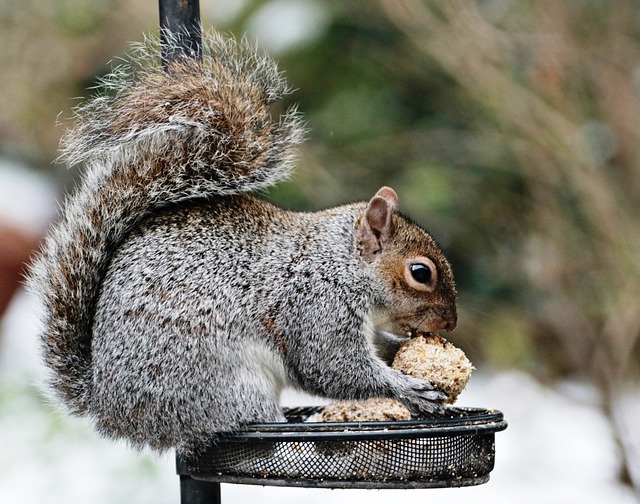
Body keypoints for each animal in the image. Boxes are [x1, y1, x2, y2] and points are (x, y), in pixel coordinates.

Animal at [27, 31, 458, 456]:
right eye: (420, 273)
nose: (450, 324)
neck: (338, 263)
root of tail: (110, 407)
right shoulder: (316, 307)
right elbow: (333, 368)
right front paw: (408, 388)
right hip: (224, 383)